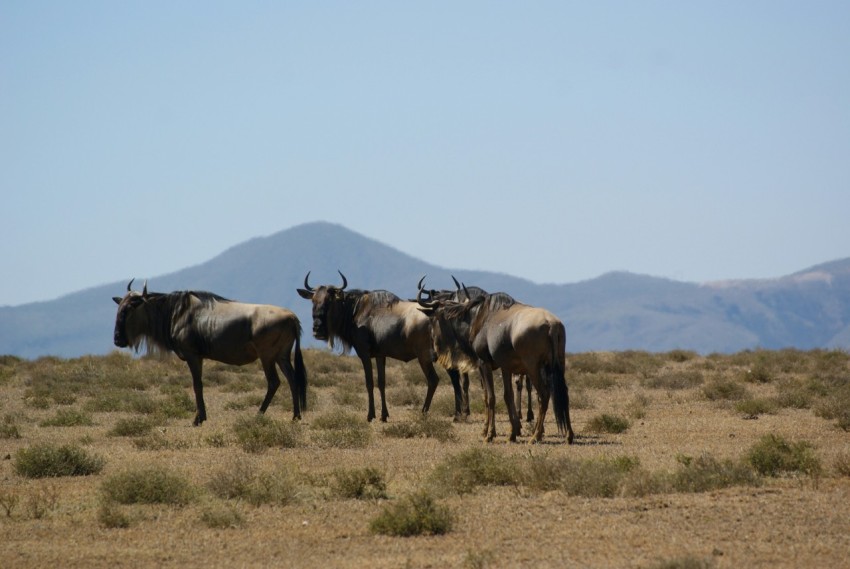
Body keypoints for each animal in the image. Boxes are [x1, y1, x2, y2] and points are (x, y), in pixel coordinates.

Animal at [113, 280, 307, 426]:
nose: (117, 340)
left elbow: (197, 385)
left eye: (129, 309)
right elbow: (198, 384)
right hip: (282, 356)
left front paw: (198, 419)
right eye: (119, 307)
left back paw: (259, 414)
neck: (175, 313)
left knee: (274, 382)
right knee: (292, 378)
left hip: (267, 357)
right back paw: (295, 416)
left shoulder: (193, 356)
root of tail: (292, 317)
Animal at [297, 271, 441, 423]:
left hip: (424, 357)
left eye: (329, 301)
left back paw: (423, 412)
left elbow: (369, 383)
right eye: (313, 301)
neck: (355, 311)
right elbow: (381, 382)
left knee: (433, 380)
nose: (317, 330)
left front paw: (370, 415)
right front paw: (384, 415)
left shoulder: (364, 354)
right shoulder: (380, 355)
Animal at [417, 280, 574, 444]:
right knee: (564, 393)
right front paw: (512, 432)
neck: (478, 318)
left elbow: (490, 397)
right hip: (558, 365)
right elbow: (506, 396)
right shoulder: (506, 367)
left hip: (534, 368)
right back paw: (568, 435)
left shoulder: (483, 363)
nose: (434, 345)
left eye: (432, 319)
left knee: (543, 394)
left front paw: (490, 433)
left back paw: (536, 435)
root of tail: (551, 324)